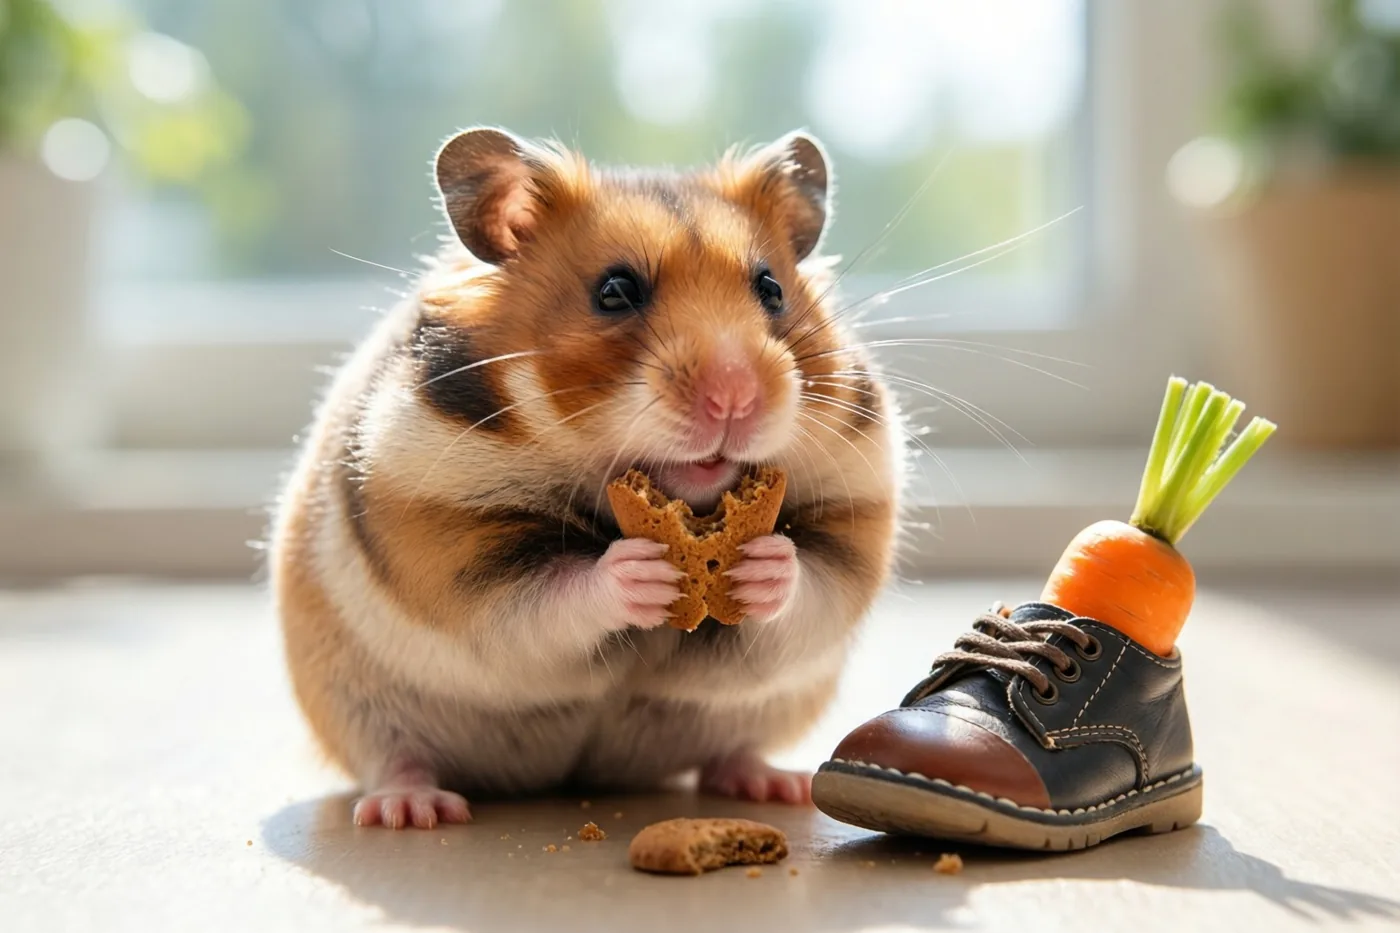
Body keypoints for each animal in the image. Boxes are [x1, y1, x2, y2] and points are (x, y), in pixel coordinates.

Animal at [270, 126, 906, 829]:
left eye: (771, 288)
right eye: (615, 291)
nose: (735, 399)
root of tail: (569, 773)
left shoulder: (857, 507)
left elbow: (812, 586)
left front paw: (761, 563)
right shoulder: (450, 536)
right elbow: (555, 594)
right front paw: (640, 570)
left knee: (731, 750)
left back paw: (775, 785)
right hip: (355, 704)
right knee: (393, 758)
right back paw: (412, 810)